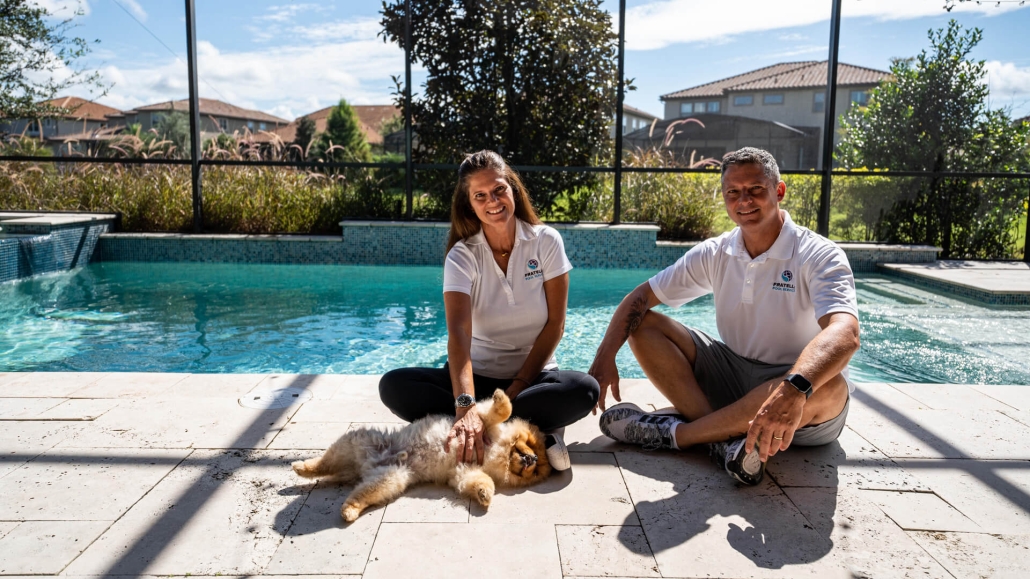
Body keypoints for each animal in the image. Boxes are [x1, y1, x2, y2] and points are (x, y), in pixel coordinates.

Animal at [290, 387, 552, 519]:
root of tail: (364, 467)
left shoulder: (465, 470)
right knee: (325, 463)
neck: (498, 450)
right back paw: (302, 467)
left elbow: (480, 480)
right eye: (531, 448)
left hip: (389, 479)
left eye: (535, 469)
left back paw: (348, 509)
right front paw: (500, 396)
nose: (532, 459)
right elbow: (501, 411)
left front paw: (484, 494)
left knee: (356, 492)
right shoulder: (482, 424)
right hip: (358, 439)